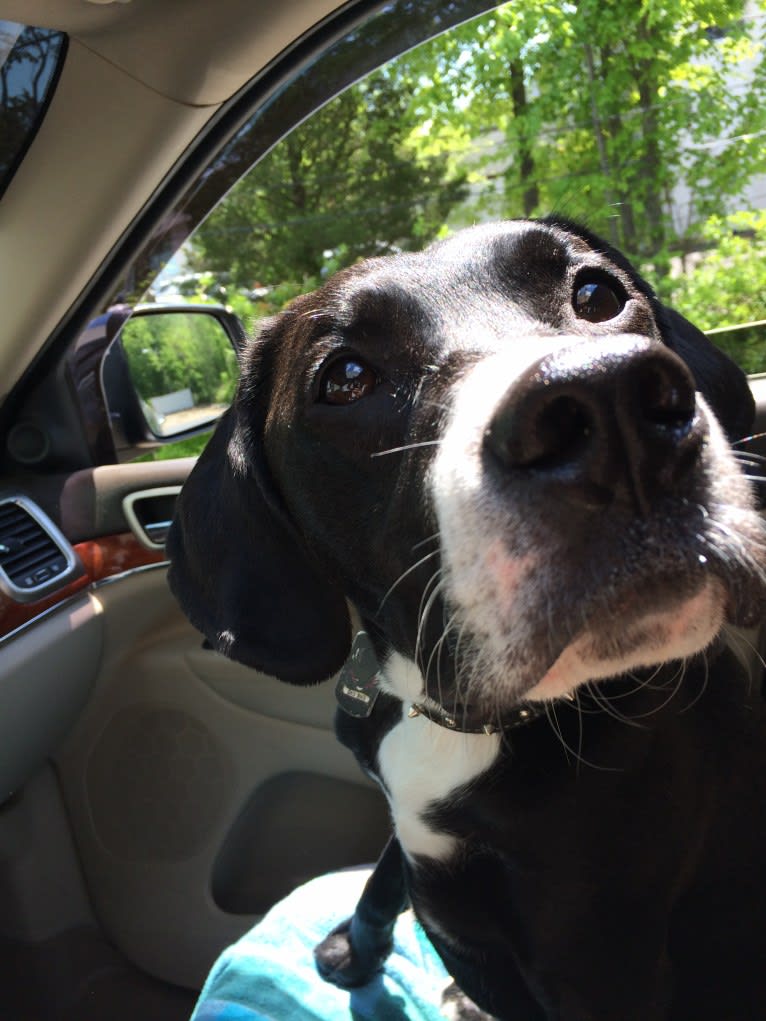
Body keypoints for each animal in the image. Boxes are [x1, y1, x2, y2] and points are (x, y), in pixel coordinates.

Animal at [166, 219, 766, 1016]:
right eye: (345, 378)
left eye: (597, 294)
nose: (608, 403)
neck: (464, 722)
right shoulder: (407, 825)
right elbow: (383, 879)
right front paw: (355, 949)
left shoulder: (603, 959)